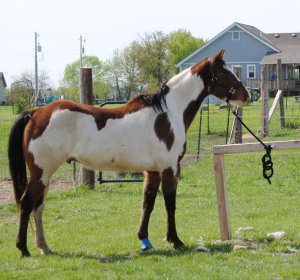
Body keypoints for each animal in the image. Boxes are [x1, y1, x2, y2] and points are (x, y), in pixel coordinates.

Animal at [8, 49, 248, 256]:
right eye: (224, 73)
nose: (246, 95)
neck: (168, 113)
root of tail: (35, 113)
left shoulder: (152, 171)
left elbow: (148, 203)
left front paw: (145, 240)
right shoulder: (170, 168)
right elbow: (170, 204)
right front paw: (176, 240)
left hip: (45, 176)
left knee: (38, 207)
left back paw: (44, 246)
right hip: (41, 173)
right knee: (27, 203)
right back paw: (23, 248)